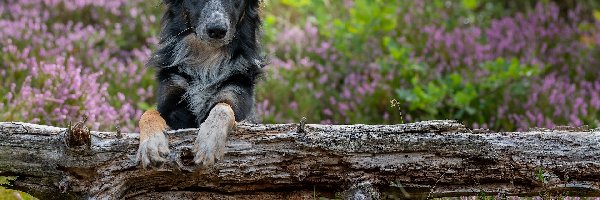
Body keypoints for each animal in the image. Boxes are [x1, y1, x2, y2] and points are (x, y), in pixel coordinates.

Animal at [139, 0, 264, 168]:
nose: (217, 30)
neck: (207, 59)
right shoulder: (170, 102)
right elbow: (149, 113)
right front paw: (151, 144)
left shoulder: (236, 97)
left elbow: (223, 107)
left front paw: (208, 142)